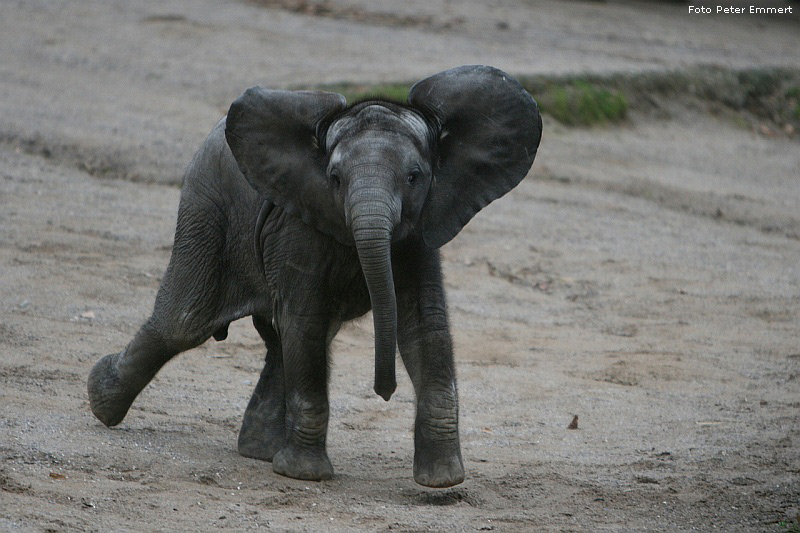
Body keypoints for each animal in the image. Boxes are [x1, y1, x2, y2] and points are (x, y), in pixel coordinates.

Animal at [90, 65, 544, 486]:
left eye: (414, 177)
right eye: (335, 179)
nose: (384, 392)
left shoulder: (423, 227)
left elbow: (424, 325)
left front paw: (443, 482)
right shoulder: (297, 222)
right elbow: (306, 318)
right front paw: (305, 475)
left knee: (282, 339)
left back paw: (259, 451)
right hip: (205, 209)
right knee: (183, 322)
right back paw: (101, 400)